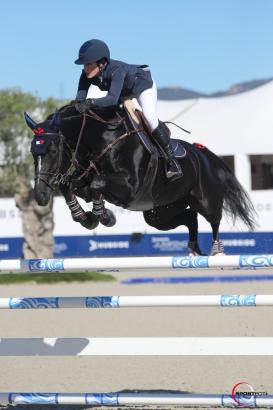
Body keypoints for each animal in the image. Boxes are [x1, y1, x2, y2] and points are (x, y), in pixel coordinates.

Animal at [23, 103, 255, 256]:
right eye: (33, 152)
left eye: (53, 150)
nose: (40, 196)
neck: (101, 137)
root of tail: (201, 152)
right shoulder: (85, 180)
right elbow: (69, 185)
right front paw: (87, 217)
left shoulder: (129, 185)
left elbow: (97, 183)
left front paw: (103, 217)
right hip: (160, 214)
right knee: (190, 218)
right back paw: (193, 250)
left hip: (205, 200)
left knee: (214, 220)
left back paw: (217, 251)